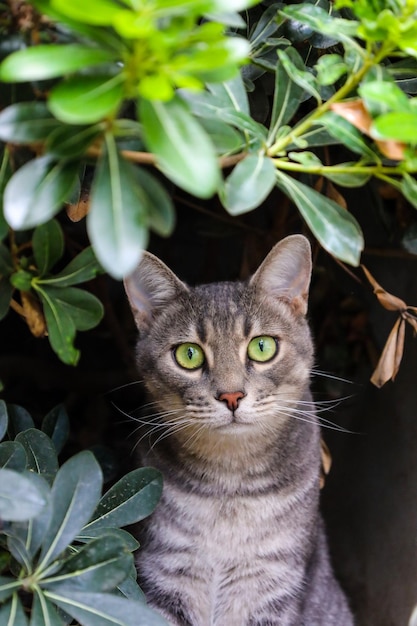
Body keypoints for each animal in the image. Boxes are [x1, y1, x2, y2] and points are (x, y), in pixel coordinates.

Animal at [122, 234, 352, 624]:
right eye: (189, 355)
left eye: (262, 346)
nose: (231, 395)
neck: (229, 486)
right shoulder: (165, 570)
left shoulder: (272, 581)